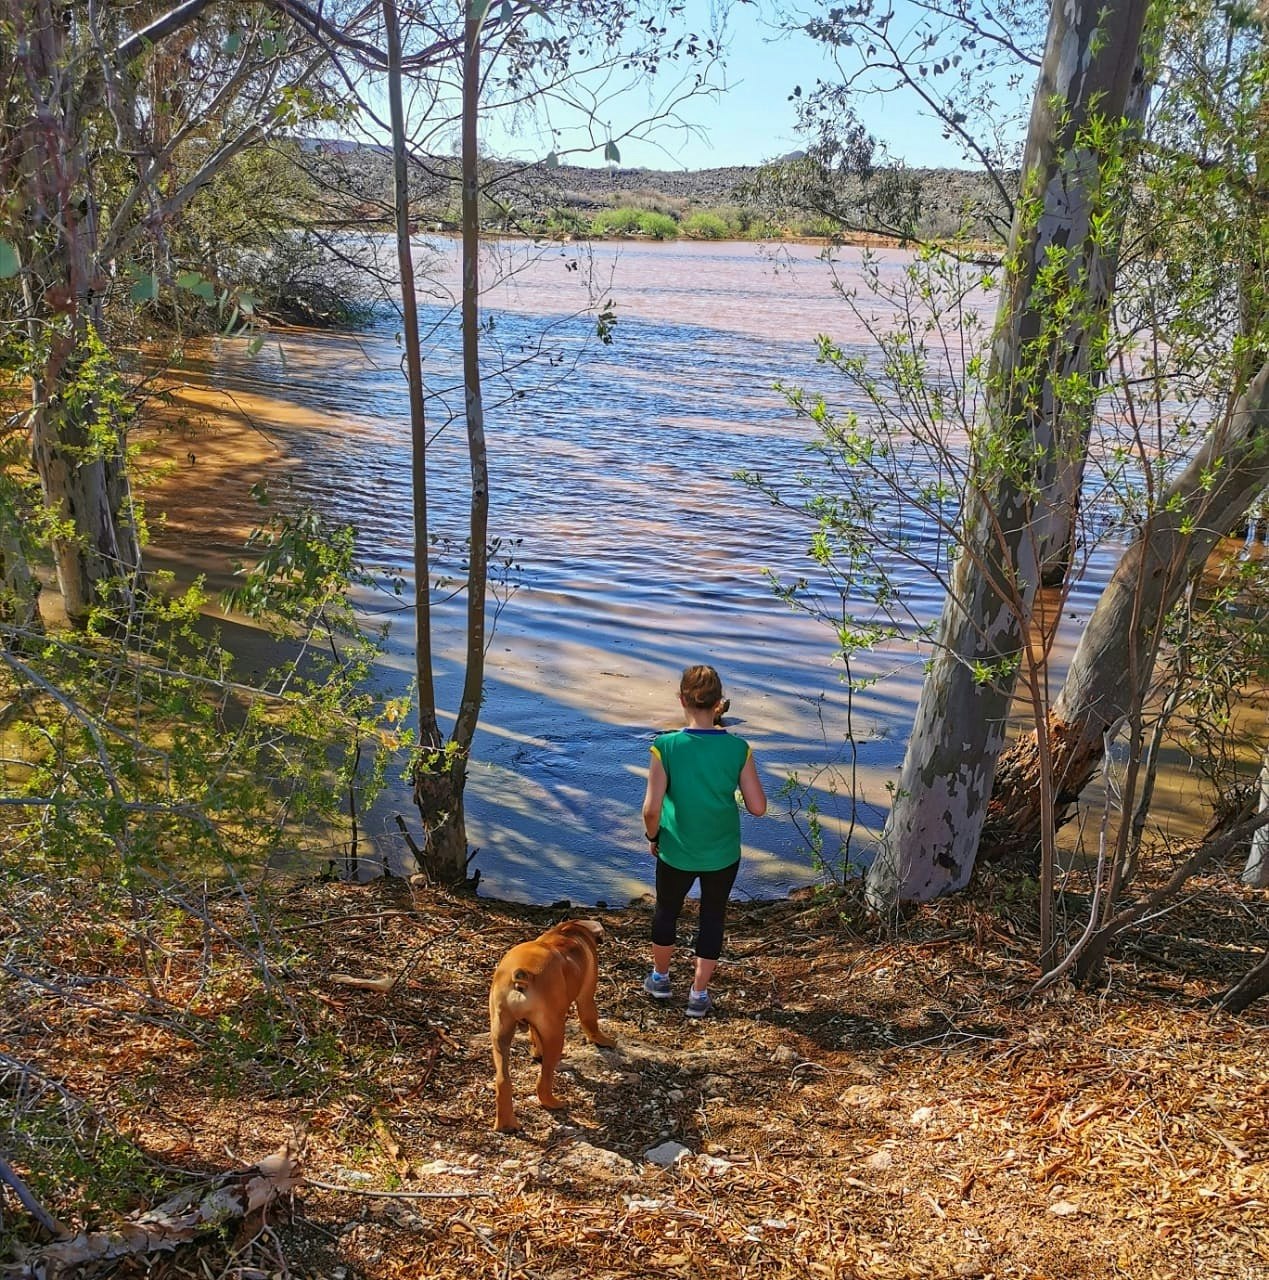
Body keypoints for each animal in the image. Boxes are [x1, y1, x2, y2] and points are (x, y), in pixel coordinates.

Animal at [488, 918, 615, 1132]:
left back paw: (506, 1123)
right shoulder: (586, 997)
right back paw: (554, 1103)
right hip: (556, 1034)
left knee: (503, 1081)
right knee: (543, 1081)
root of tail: (522, 975)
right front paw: (604, 1040)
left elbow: (534, 1037)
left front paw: (536, 1052)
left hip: (500, 1034)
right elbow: (591, 1021)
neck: (568, 931)